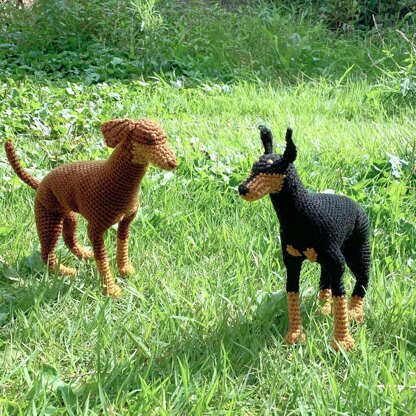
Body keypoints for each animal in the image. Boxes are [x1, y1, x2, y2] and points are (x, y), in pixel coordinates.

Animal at [4, 118, 177, 298]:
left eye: (165, 138)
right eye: (149, 140)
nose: (173, 163)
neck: (115, 180)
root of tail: (39, 184)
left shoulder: (125, 222)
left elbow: (123, 245)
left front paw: (124, 269)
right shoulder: (95, 230)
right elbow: (102, 259)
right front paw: (110, 289)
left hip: (69, 217)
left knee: (69, 239)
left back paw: (84, 255)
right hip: (49, 218)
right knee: (47, 251)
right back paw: (64, 271)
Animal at [237, 125, 370, 350]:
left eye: (274, 169)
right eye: (254, 167)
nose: (242, 188)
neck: (303, 214)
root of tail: (355, 203)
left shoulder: (338, 264)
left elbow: (340, 297)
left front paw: (342, 342)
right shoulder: (291, 261)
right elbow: (293, 293)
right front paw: (295, 335)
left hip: (356, 249)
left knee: (363, 277)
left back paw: (355, 313)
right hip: (328, 259)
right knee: (325, 279)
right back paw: (323, 309)